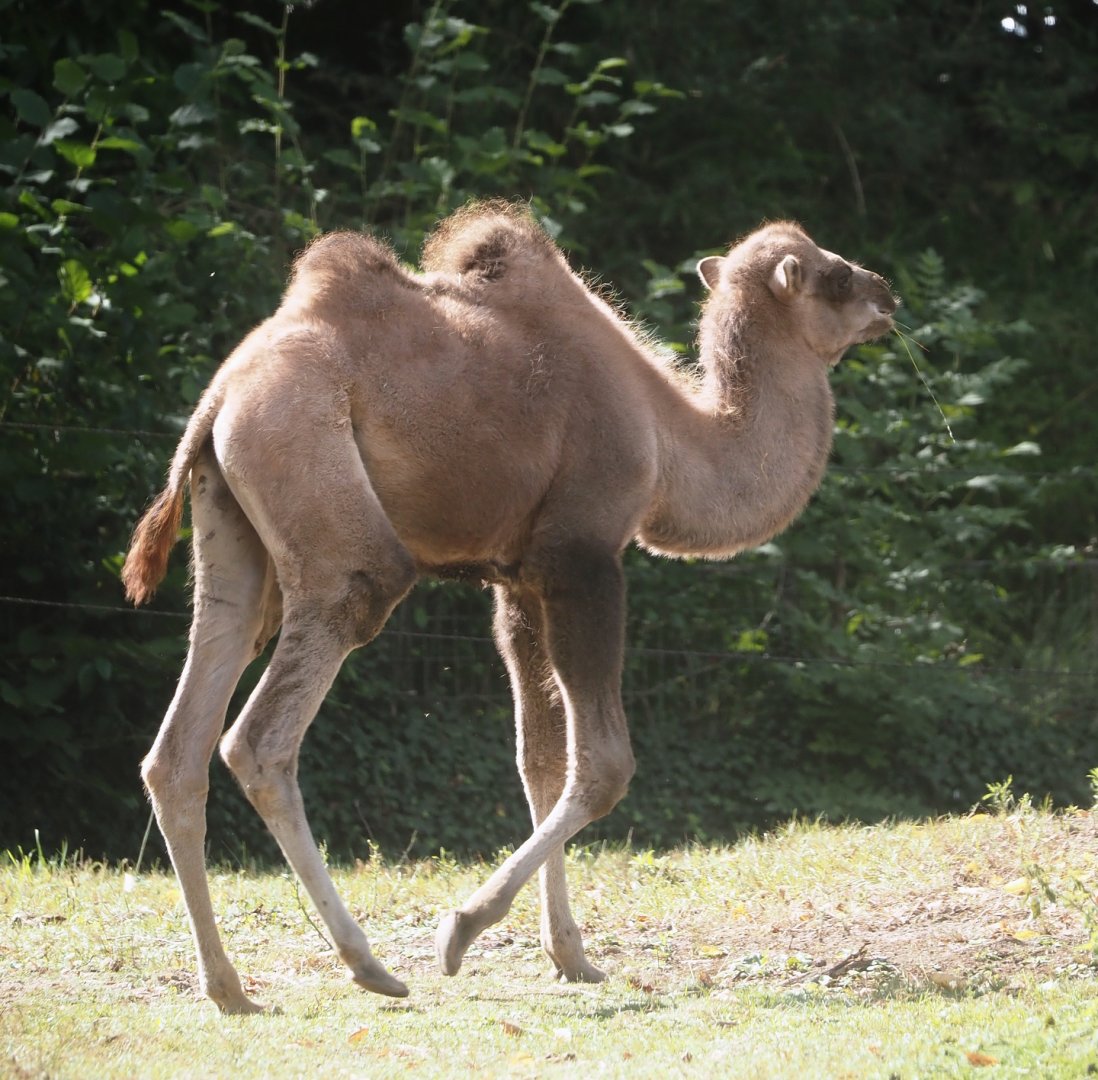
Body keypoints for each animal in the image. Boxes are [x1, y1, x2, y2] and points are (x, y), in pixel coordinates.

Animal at [122, 201, 897, 1013]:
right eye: (833, 276)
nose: (887, 295)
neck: (670, 443)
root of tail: (222, 398)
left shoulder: (519, 579)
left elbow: (542, 761)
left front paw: (571, 956)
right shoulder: (582, 556)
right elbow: (604, 765)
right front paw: (463, 929)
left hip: (233, 536)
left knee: (182, 740)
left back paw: (228, 987)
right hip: (326, 508)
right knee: (263, 734)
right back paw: (367, 964)